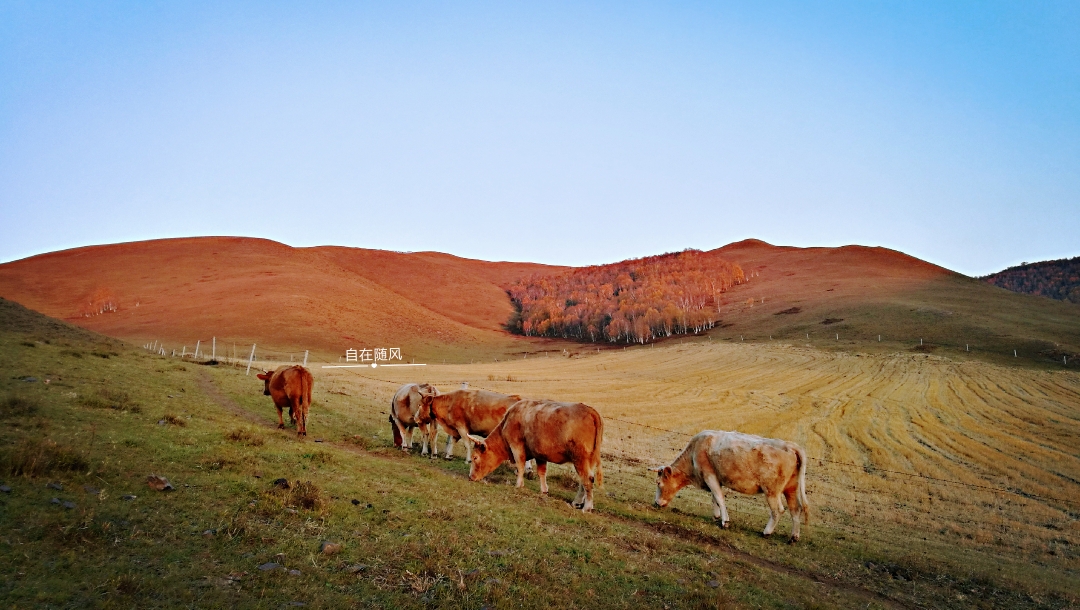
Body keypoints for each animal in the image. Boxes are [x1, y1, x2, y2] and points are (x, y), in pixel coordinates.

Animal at [466, 399, 604, 509]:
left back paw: (587, 507)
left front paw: (518, 485)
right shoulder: (540, 454)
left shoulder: (516, 446)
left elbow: (520, 465)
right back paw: (577, 502)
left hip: (580, 458)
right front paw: (544, 491)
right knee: (583, 481)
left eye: (475, 457)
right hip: (587, 460)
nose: (470, 477)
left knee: (587, 479)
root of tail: (590, 411)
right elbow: (542, 472)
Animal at [648, 427, 812, 541]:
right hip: (791, 488)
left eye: (659, 483)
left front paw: (724, 521)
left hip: (772, 490)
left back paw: (766, 532)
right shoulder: (715, 478)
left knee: (778, 510)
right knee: (795, 509)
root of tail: (790, 446)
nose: (656, 503)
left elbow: (719, 497)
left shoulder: (709, 475)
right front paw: (716, 516)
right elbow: (714, 498)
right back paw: (793, 537)